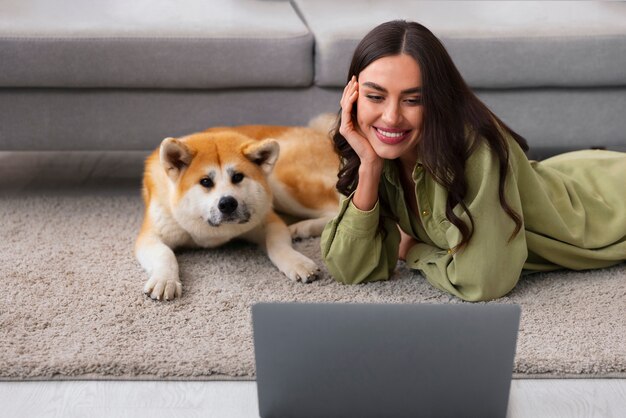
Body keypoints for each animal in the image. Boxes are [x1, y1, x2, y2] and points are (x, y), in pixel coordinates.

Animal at [134, 116, 338, 302]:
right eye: (205, 181)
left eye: (238, 177)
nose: (227, 203)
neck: (211, 231)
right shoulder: (150, 235)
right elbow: (165, 254)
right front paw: (165, 280)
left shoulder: (268, 220)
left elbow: (277, 245)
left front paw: (297, 261)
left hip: (281, 182)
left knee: (335, 210)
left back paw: (302, 227)